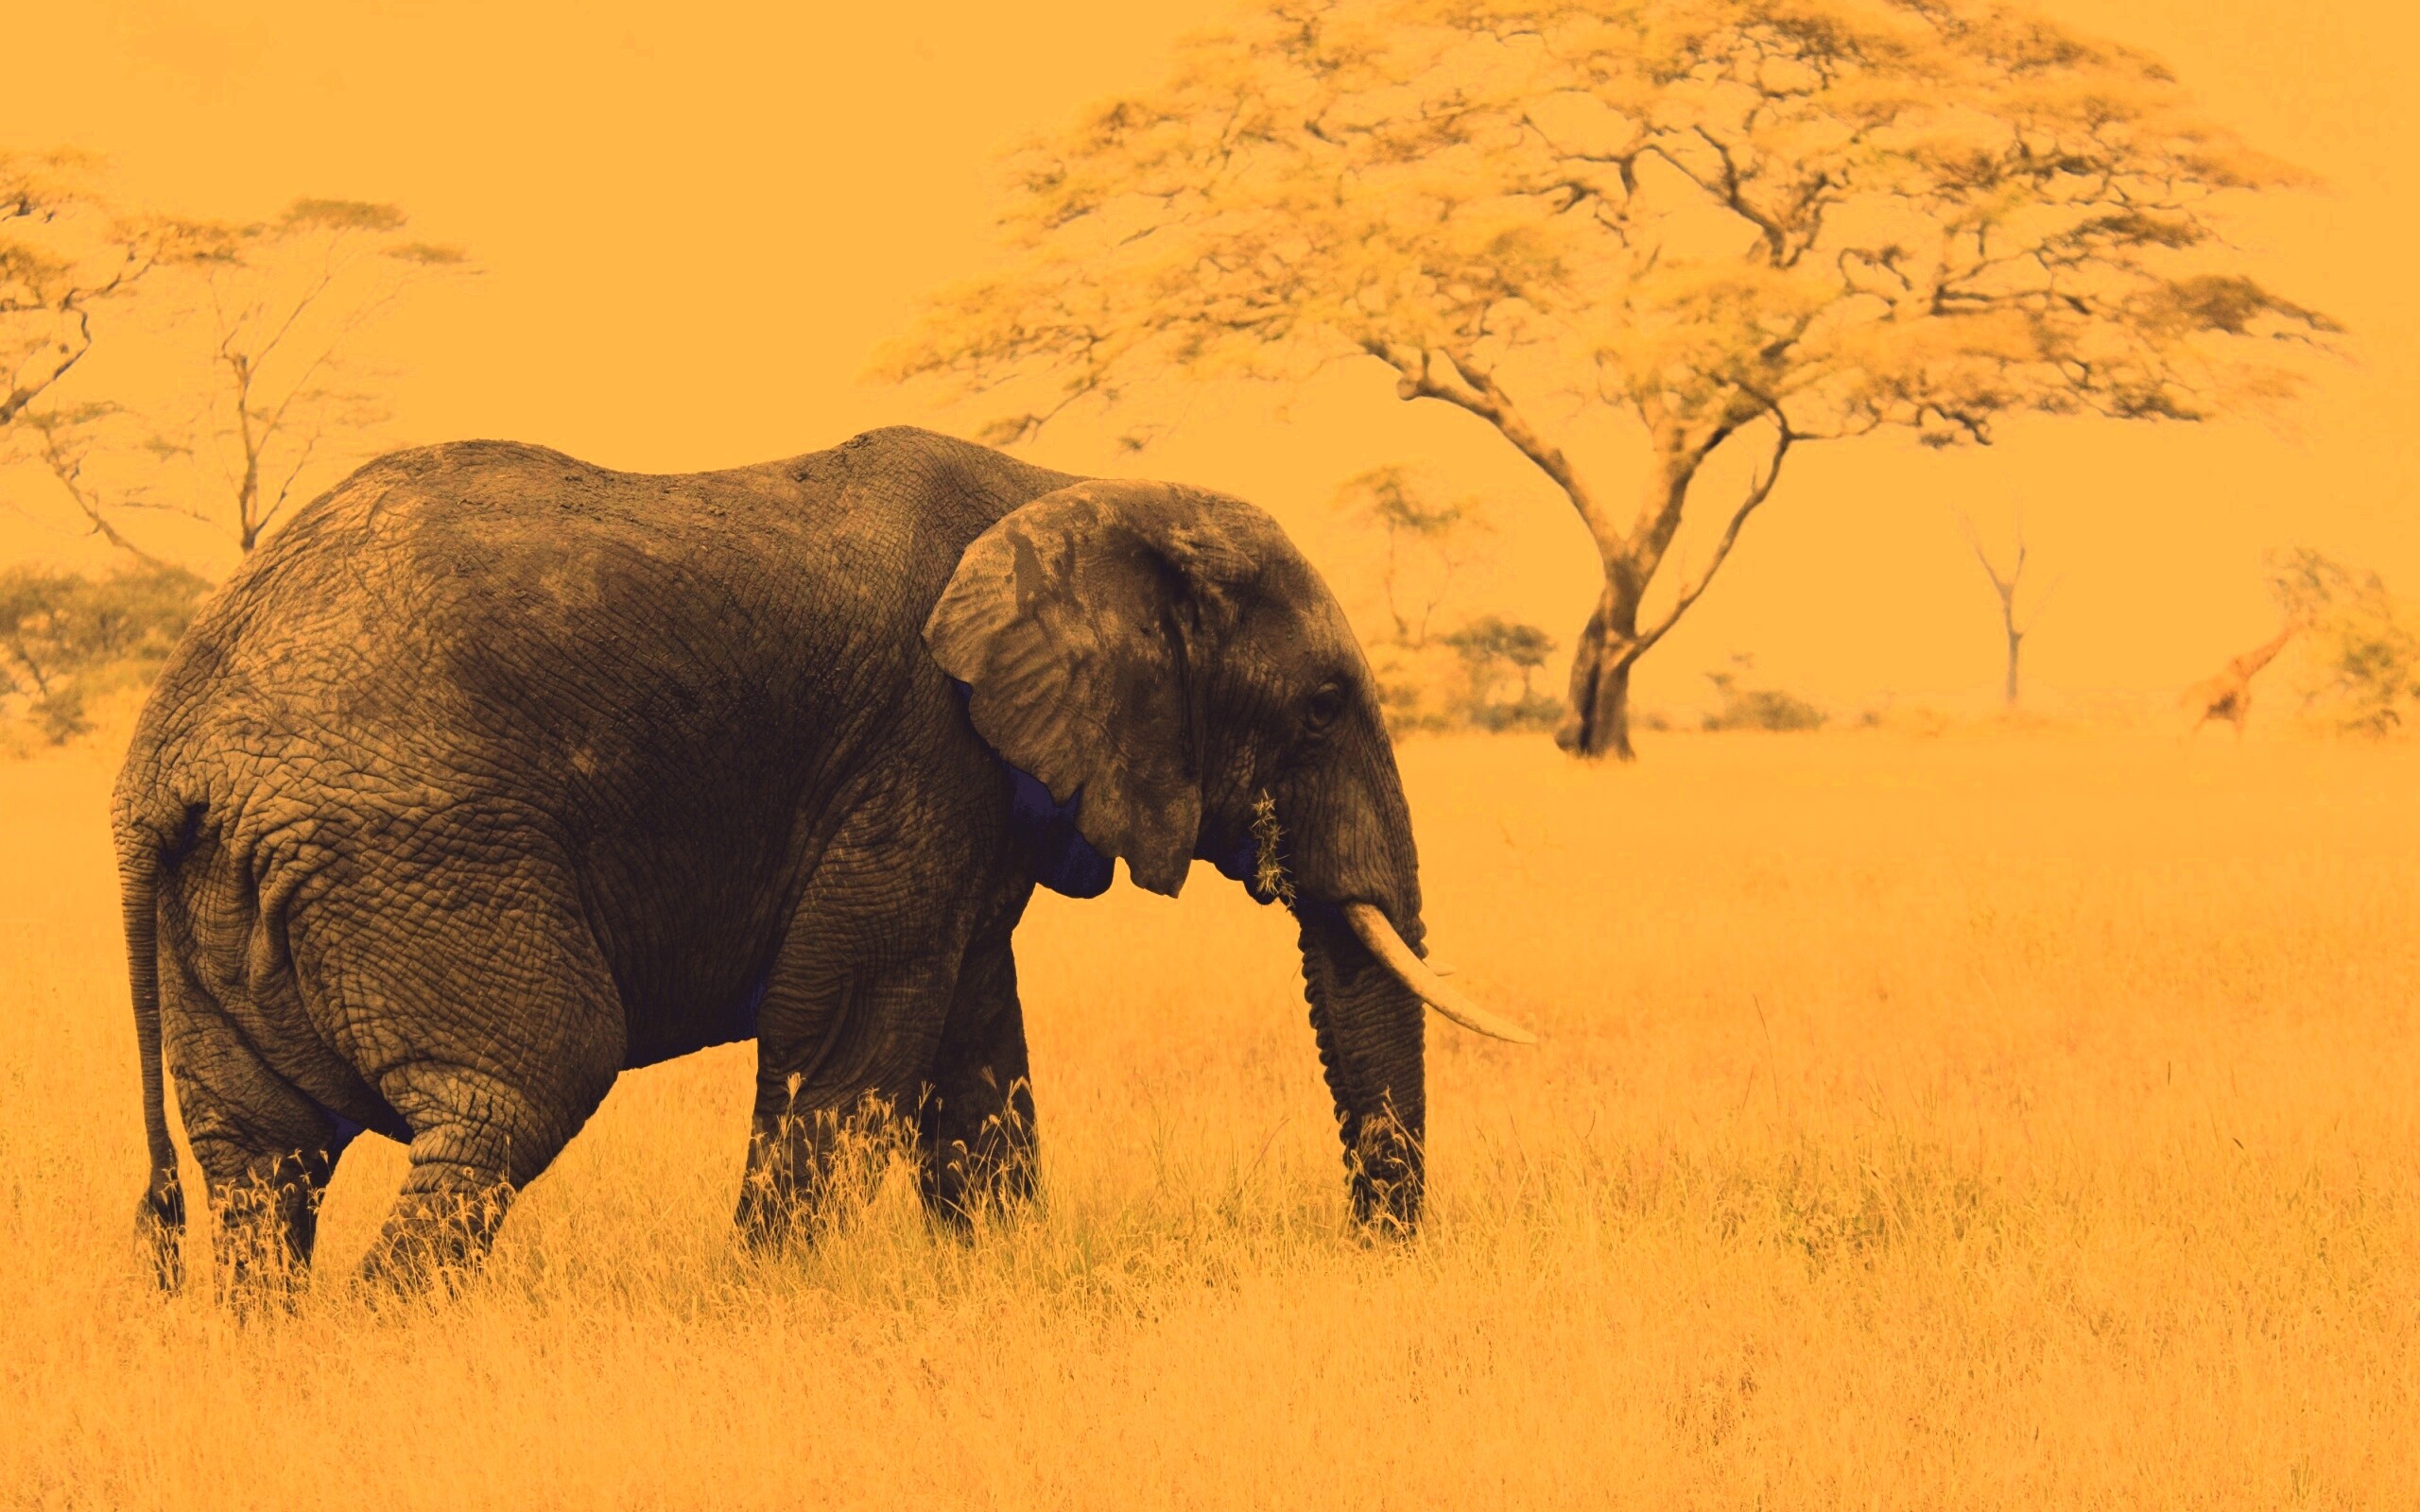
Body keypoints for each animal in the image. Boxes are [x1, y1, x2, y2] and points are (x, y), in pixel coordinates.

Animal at [113, 425, 1533, 1296]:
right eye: (1321, 706)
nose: (1373, 1255)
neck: (1073, 488)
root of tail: (166, 758)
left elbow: (972, 1041)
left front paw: (993, 1278)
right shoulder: (917, 745)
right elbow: (847, 1026)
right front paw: (768, 1300)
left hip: (241, 892)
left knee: (262, 1163)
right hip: (417, 851)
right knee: (517, 1090)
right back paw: (387, 1340)